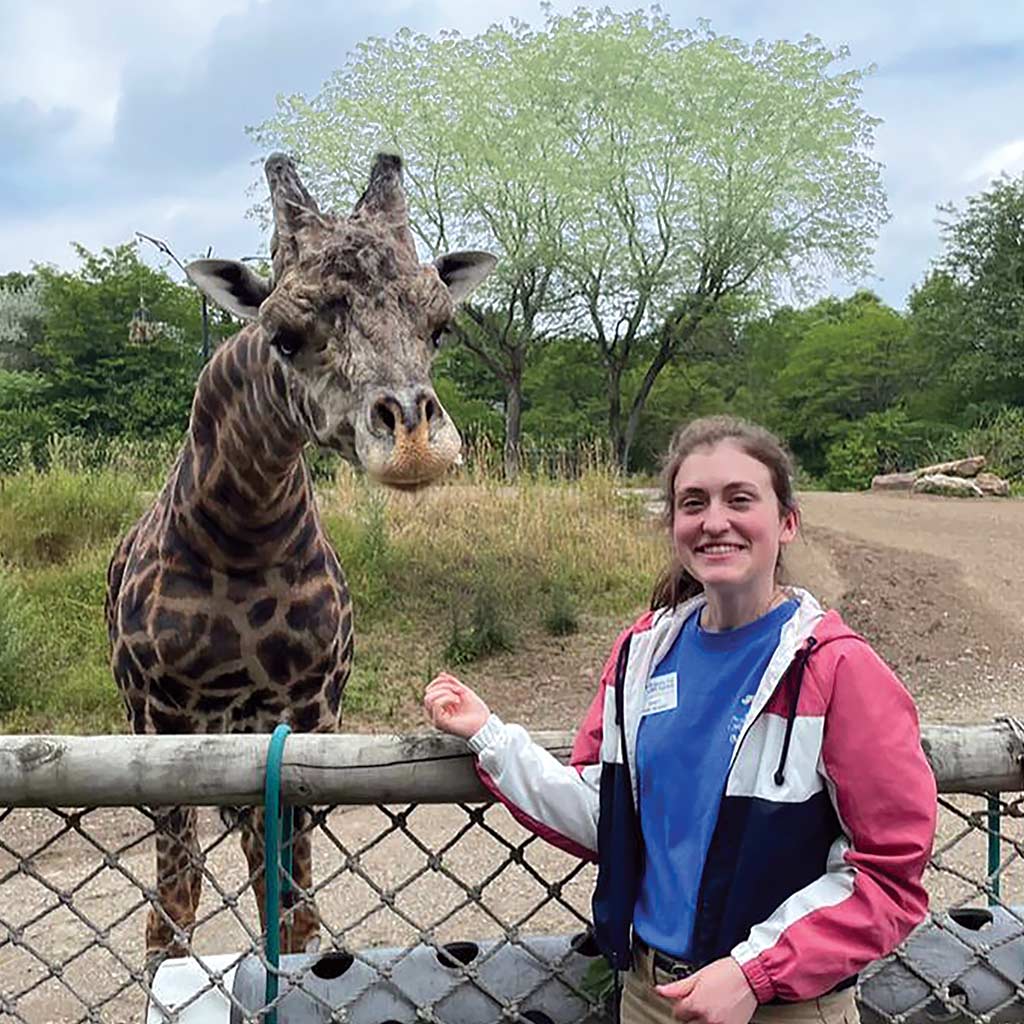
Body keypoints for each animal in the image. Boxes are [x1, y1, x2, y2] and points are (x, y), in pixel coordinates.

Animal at [105, 148, 497, 962]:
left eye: (439, 328)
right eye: (284, 335)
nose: (415, 440)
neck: (244, 537)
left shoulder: (310, 717)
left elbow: (293, 905)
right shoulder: (161, 719)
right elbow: (173, 906)